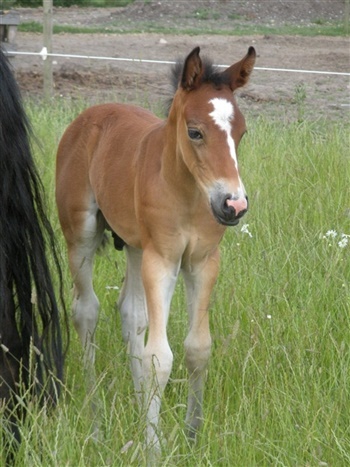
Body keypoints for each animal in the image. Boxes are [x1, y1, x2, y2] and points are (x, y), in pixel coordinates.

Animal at [56, 45, 256, 452]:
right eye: (195, 132)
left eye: (241, 132)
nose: (234, 205)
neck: (187, 195)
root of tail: (89, 115)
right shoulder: (161, 260)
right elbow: (159, 357)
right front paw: (154, 447)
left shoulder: (203, 262)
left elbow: (198, 348)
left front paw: (192, 435)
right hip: (81, 235)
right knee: (86, 311)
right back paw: (96, 422)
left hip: (135, 246)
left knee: (131, 314)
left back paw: (135, 408)